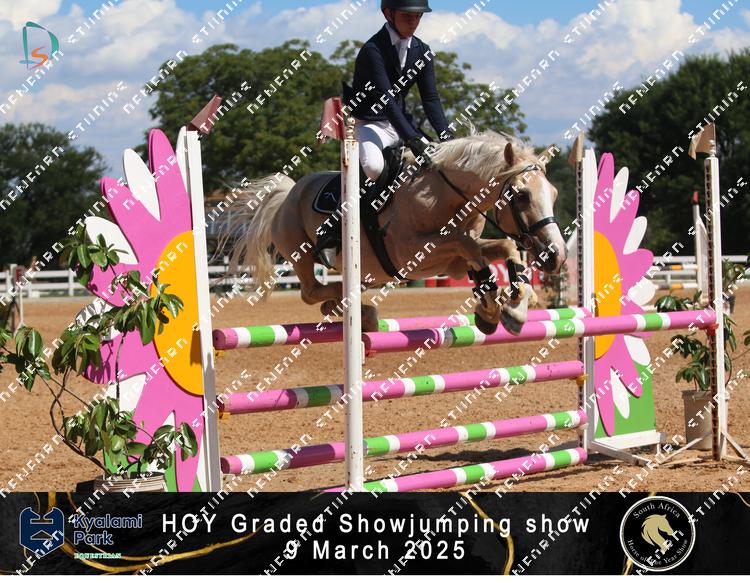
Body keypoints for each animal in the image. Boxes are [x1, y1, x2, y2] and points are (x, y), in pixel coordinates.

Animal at [219, 131, 566, 334]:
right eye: (521, 195)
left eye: (554, 193)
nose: (557, 256)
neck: (443, 193)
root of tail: (288, 192)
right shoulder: (412, 255)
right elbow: (468, 247)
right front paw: (492, 304)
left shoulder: (452, 260)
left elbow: (502, 246)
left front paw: (515, 307)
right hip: (300, 253)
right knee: (310, 290)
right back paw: (361, 311)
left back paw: (343, 308)